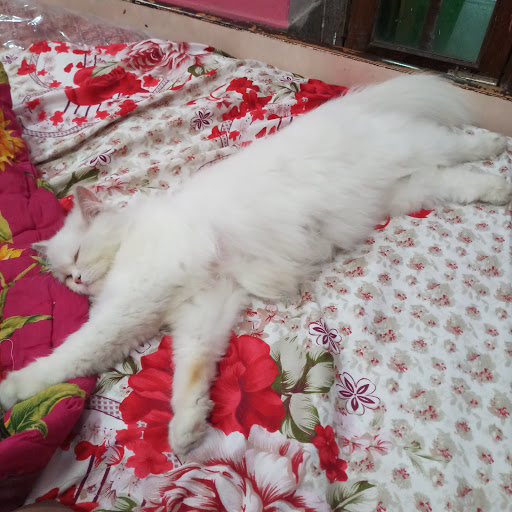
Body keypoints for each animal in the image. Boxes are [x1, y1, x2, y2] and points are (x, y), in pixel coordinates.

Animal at [0, 74, 510, 456]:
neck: (133, 237)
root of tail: (349, 107)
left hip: (412, 150)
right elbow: (191, 372)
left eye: (78, 257)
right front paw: (186, 430)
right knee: (457, 181)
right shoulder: (204, 308)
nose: (76, 281)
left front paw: (13, 387)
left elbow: (71, 353)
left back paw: (491, 146)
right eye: (63, 275)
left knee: (456, 143)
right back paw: (498, 190)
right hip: (406, 191)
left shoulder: (134, 303)